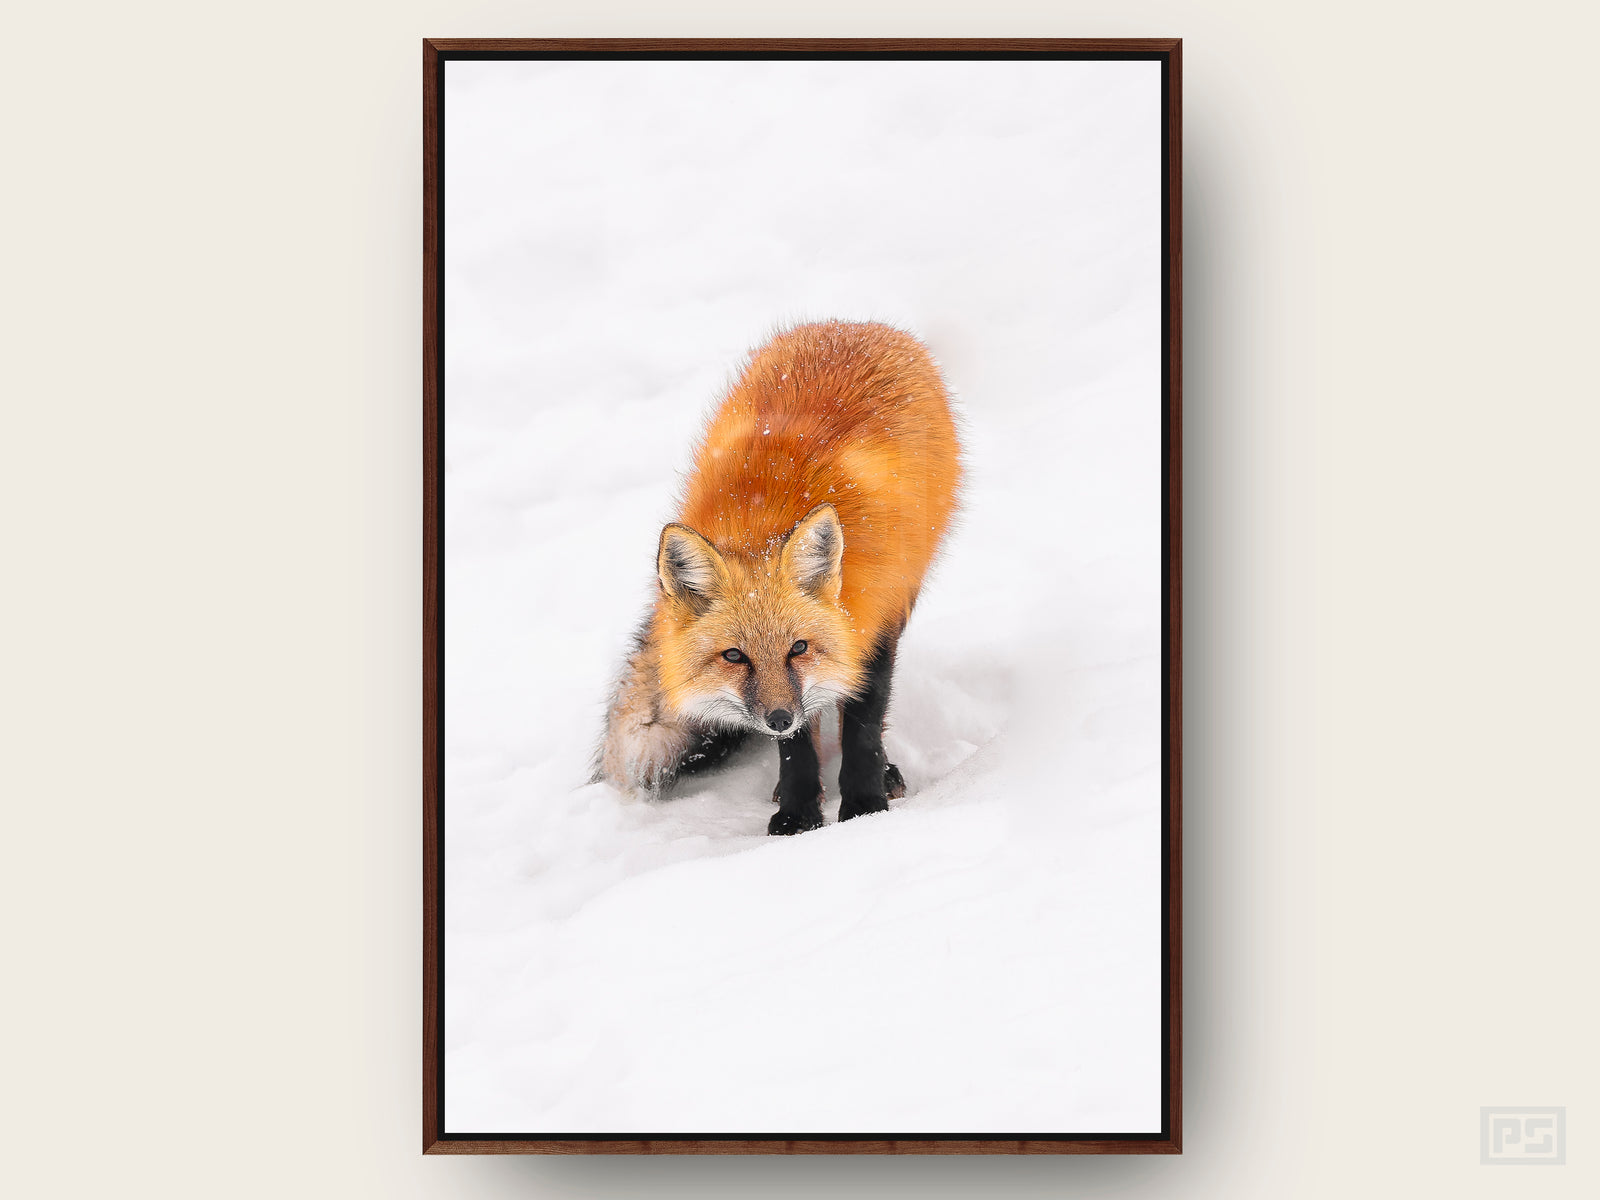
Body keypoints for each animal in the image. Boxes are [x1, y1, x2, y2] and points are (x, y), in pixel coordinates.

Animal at [597, 320, 963, 834]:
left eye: (799, 647)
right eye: (734, 656)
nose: (777, 717)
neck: (762, 522)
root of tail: (852, 324)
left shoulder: (877, 620)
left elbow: (864, 723)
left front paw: (864, 805)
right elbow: (796, 745)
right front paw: (798, 810)